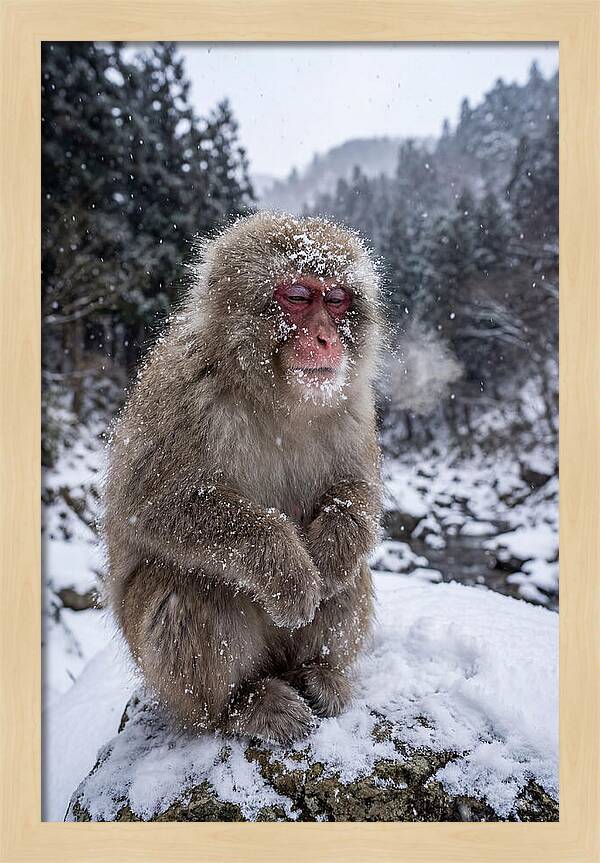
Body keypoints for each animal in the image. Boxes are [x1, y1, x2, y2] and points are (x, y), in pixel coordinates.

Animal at [103, 212, 383, 744]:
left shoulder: (354, 405)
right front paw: (289, 569)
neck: (276, 397)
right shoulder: (182, 390)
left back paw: (318, 673)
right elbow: (150, 505)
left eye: (337, 300)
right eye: (298, 296)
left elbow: (357, 490)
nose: (326, 338)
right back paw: (240, 706)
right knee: (186, 585)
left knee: (352, 575)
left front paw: (330, 554)